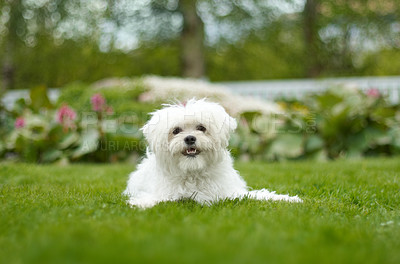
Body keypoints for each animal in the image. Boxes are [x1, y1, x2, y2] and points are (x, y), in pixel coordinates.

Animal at [123, 99, 302, 208]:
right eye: (176, 131)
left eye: (201, 128)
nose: (190, 138)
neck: (193, 171)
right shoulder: (169, 193)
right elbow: (159, 198)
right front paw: (140, 203)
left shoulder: (231, 192)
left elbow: (259, 195)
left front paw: (288, 199)